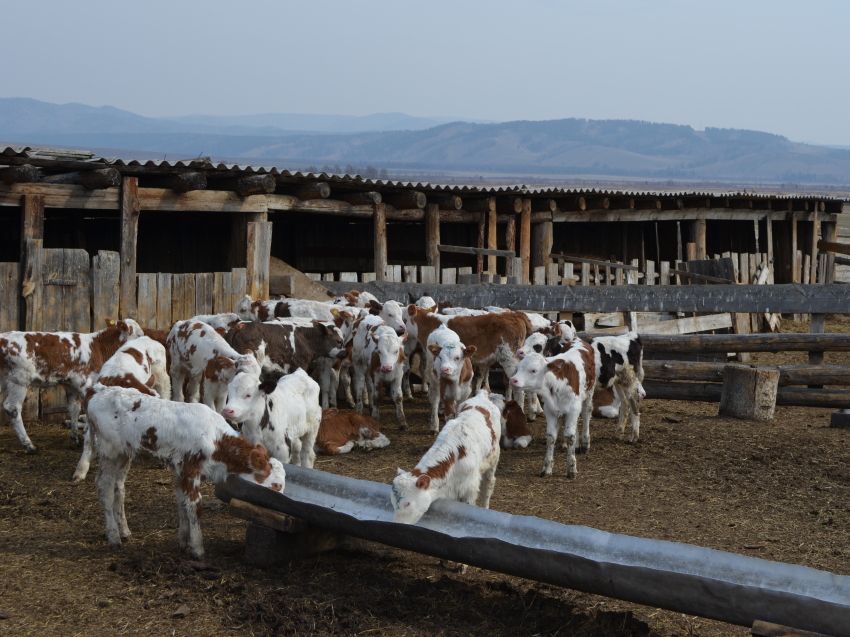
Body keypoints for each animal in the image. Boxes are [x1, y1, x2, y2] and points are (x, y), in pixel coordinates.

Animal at [0, 316, 142, 450]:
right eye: (139, 335)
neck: (97, 347)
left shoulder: (71, 384)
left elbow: (74, 408)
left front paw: (75, 438)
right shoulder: (85, 383)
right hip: (19, 380)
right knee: (12, 407)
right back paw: (29, 445)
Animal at [88, 382, 284, 556]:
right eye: (276, 485)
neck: (215, 438)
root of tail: (101, 390)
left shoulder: (181, 469)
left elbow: (182, 501)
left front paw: (183, 541)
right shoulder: (190, 467)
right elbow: (195, 505)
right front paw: (197, 548)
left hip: (123, 454)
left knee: (118, 487)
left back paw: (124, 531)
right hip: (108, 451)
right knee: (104, 487)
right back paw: (114, 537)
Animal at [392, 390, 504, 524]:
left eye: (407, 503)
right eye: (393, 503)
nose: (397, 523)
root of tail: (482, 394)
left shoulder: (470, 487)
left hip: (493, 459)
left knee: (488, 484)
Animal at [506, 338, 592, 476]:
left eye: (534, 370)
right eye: (518, 368)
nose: (513, 380)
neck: (556, 384)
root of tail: (578, 340)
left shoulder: (573, 409)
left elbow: (570, 437)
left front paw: (572, 468)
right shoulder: (550, 410)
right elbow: (551, 437)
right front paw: (547, 468)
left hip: (589, 394)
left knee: (586, 414)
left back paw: (585, 443)